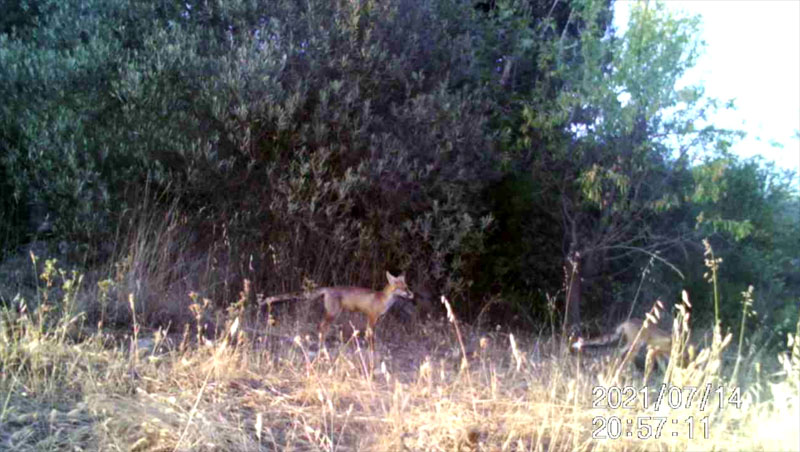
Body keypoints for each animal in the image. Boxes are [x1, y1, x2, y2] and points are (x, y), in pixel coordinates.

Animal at [262, 272, 416, 342]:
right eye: (404, 289)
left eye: (407, 287)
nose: (412, 295)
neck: (384, 299)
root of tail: (329, 288)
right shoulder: (372, 317)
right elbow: (370, 334)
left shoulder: (374, 318)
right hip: (333, 314)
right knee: (321, 326)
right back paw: (322, 343)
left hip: (332, 314)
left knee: (320, 326)